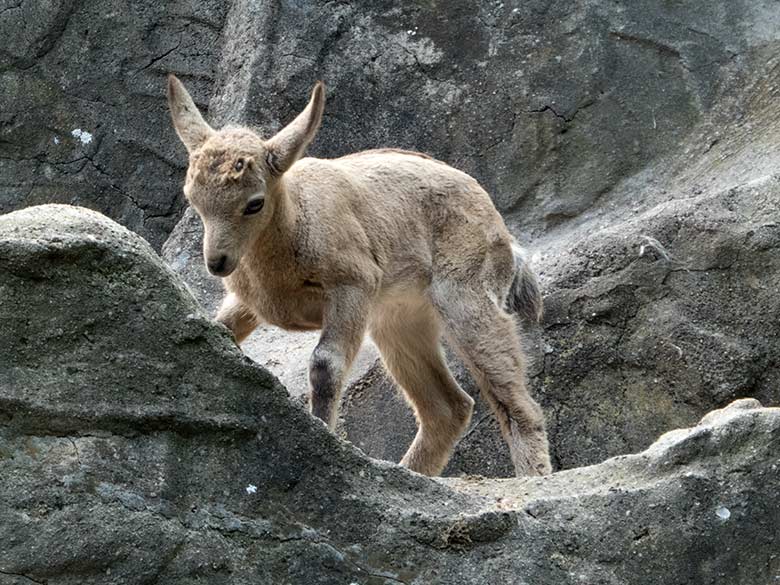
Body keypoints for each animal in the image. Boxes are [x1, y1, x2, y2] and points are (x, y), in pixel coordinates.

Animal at [168, 75, 552, 474]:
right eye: (192, 197)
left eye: (254, 203)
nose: (217, 261)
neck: (296, 220)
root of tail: (502, 231)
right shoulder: (248, 302)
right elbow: (221, 329)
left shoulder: (353, 286)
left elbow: (325, 364)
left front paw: (322, 437)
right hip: (399, 319)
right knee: (448, 408)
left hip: (465, 295)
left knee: (515, 402)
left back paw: (531, 475)